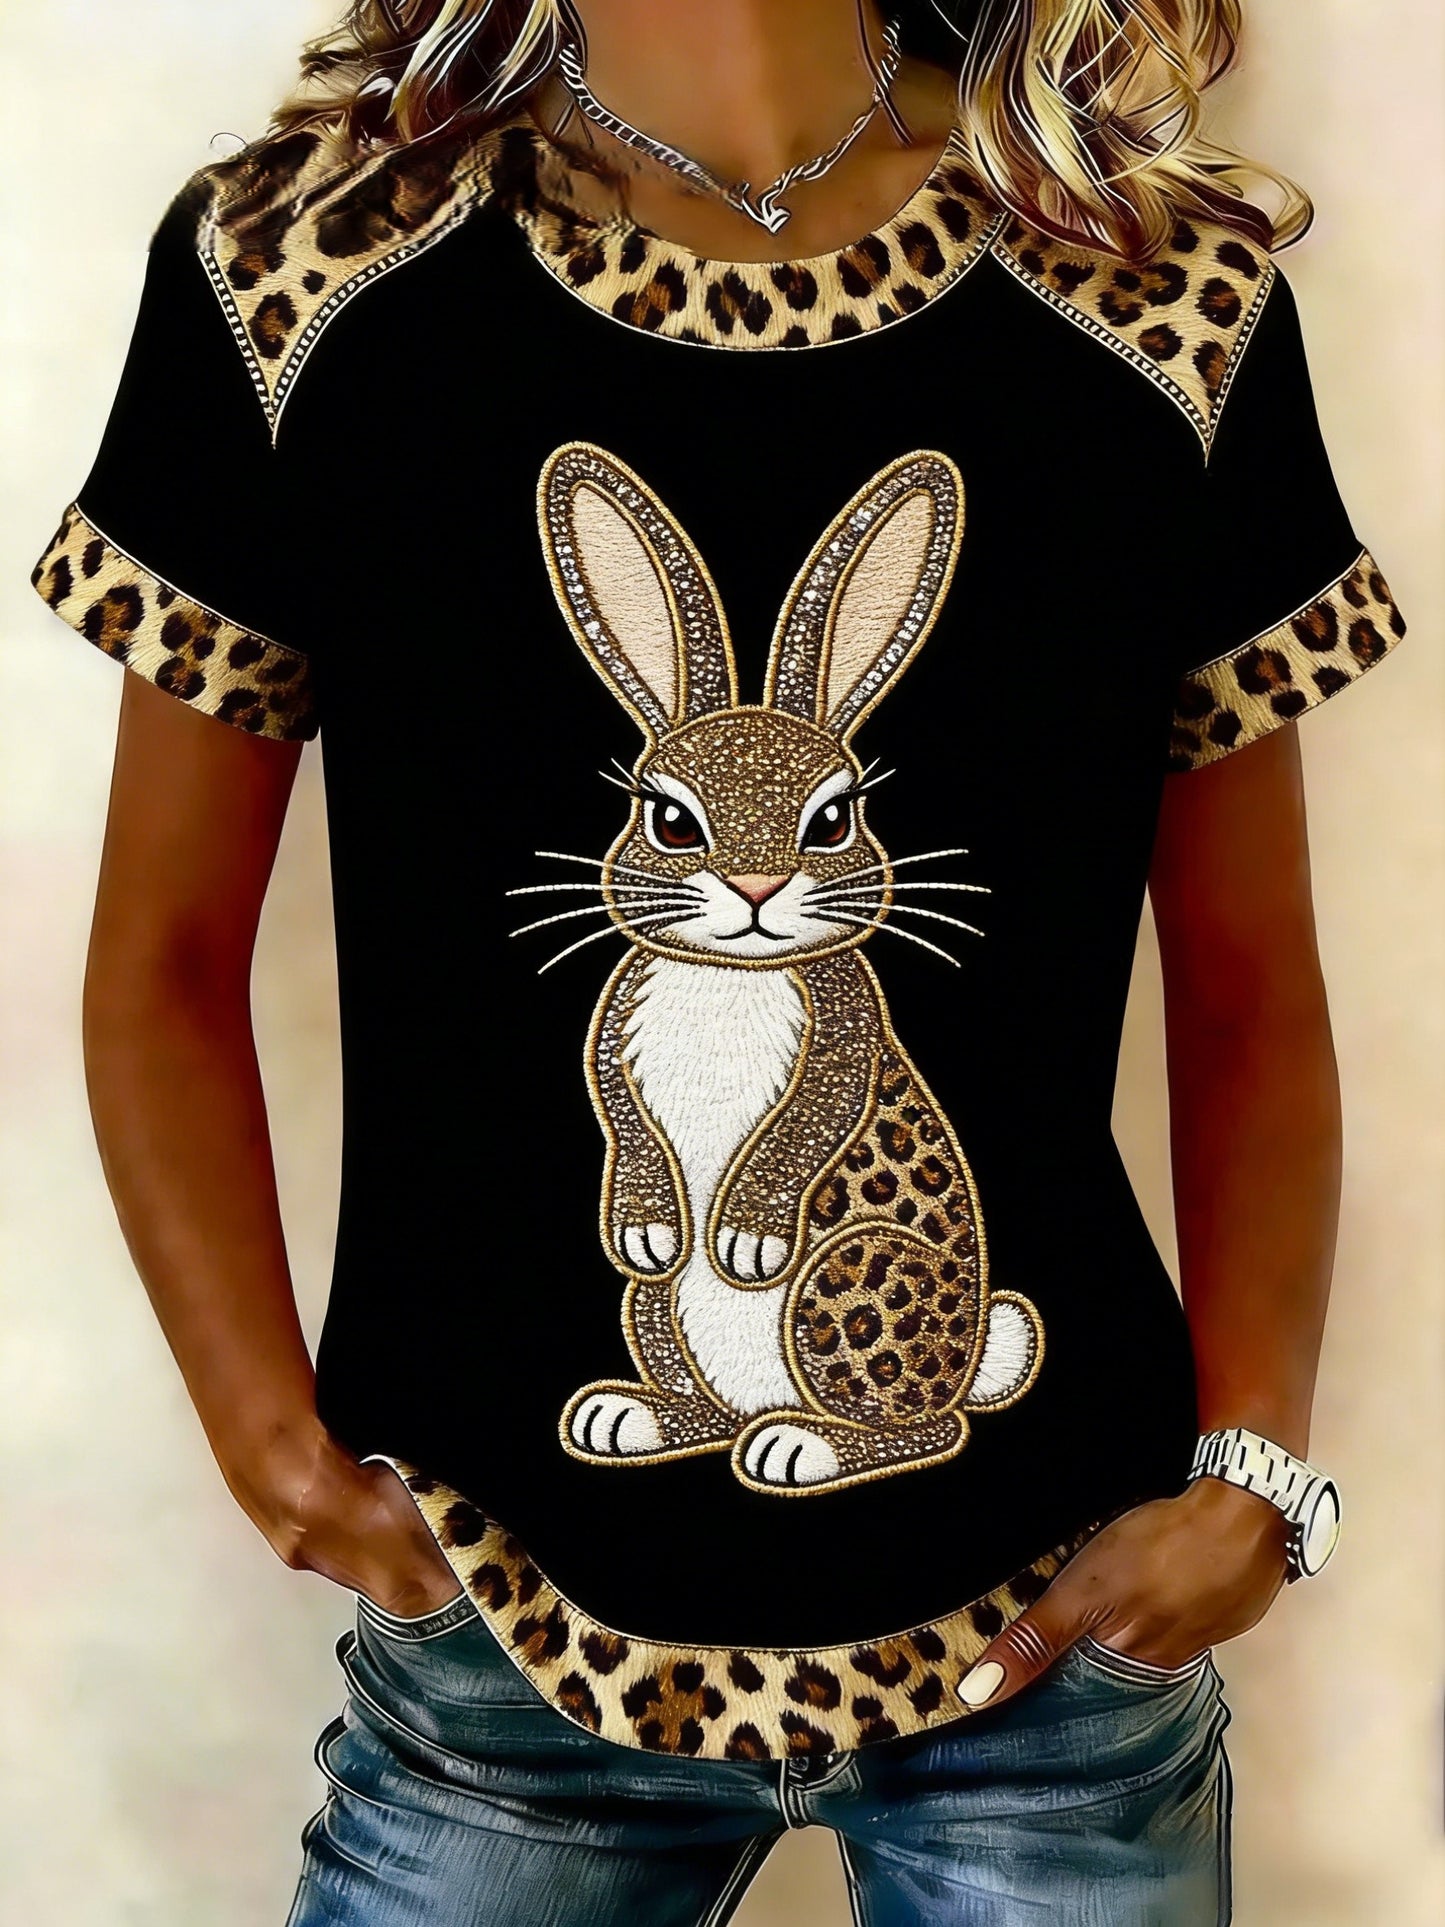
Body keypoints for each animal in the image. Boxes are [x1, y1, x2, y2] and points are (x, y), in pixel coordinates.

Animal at [518, 441, 1043, 1496]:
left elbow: (806, 1123)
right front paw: (647, 1227)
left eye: (832, 819)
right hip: (652, 1307)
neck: (732, 978)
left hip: (848, 1279)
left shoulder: (842, 1034)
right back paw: (629, 1417)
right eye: (670, 820)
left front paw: (744, 1237)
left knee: (918, 1427)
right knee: (708, 1397)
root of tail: (970, 1360)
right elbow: (623, 1117)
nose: (756, 887)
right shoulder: (616, 1035)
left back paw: (802, 1444)